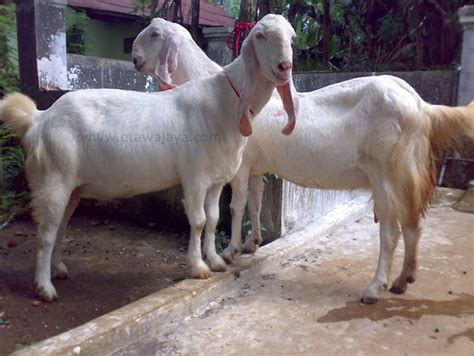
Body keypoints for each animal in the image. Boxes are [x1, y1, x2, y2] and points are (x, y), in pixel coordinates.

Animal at [0, 15, 300, 302]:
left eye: (292, 38)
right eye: (259, 36)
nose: (284, 67)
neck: (223, 102)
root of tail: (39, 118)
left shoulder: (216, 179)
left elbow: (214, 218)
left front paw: (215, 261)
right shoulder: (194, 177)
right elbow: (199, 220)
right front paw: (198, 267)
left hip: (71, 187)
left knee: (60, 227)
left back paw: (58, 270)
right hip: (52, 179)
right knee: (46, 233)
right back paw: (44, 288)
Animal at [133, 18, 474, 304]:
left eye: (154, 33)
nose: (134, 57)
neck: (227, 92)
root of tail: (421, 106)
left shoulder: (241, 166)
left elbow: (236, 205)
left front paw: (230, 251)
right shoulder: (256, 167)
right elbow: (256, 202)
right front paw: (253, 243)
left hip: (386, 173)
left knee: (391, 233)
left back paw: (375, 288)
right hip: (406, 175)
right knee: (413, 224)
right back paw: (404, 279)